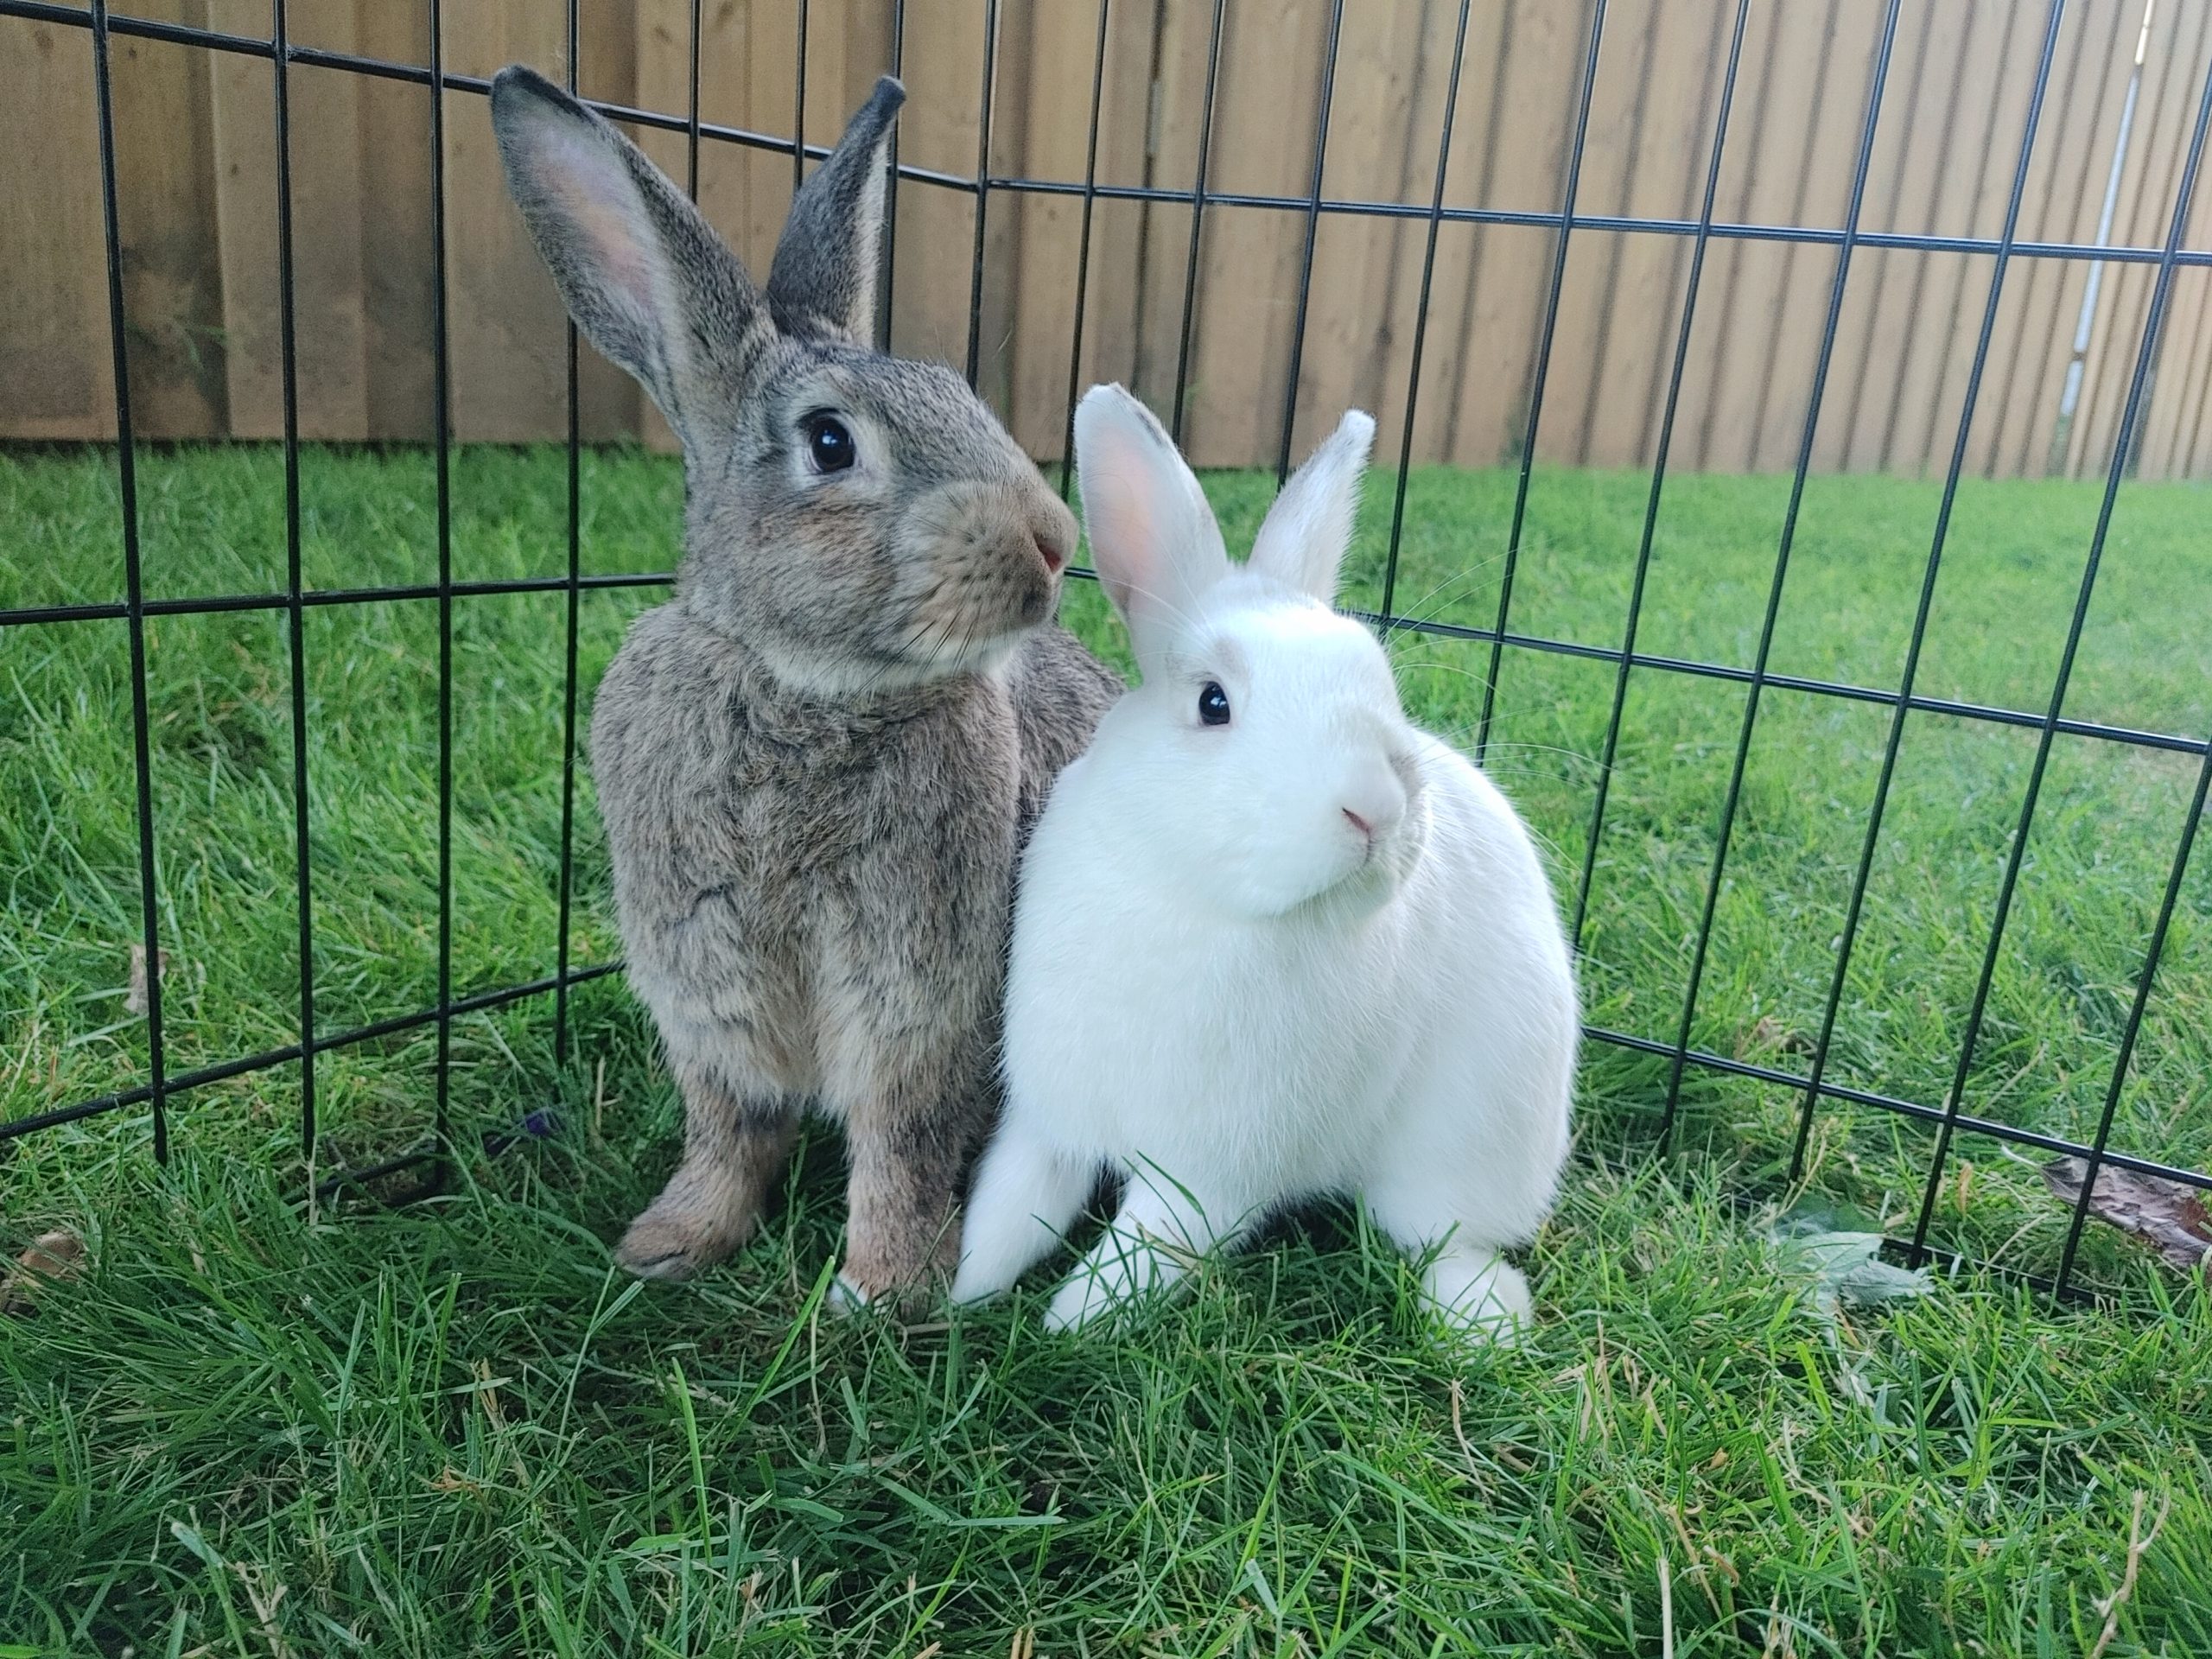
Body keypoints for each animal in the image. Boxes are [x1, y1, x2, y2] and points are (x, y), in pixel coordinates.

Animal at [489, 68, 1123, 1305]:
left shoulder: (920, 994)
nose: (1051, 541)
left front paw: (882, 1289)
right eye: (830, 442)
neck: (801, 691)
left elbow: (900, 1138)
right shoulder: (705, 987)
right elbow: (730, 1129)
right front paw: (669, 1244)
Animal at [950, 385, 1577, 1340]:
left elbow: (1147, 1248)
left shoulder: (1212, 1170)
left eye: (1378, 683)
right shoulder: (1046, 1113)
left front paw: (1071, 1321)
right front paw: (950, 1295)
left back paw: (1484, 1325)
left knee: (1449, 1239)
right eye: (1213, 703)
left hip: (1460, 1156)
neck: (1193, 900)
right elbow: (1011, 1207)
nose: (1376, 807)